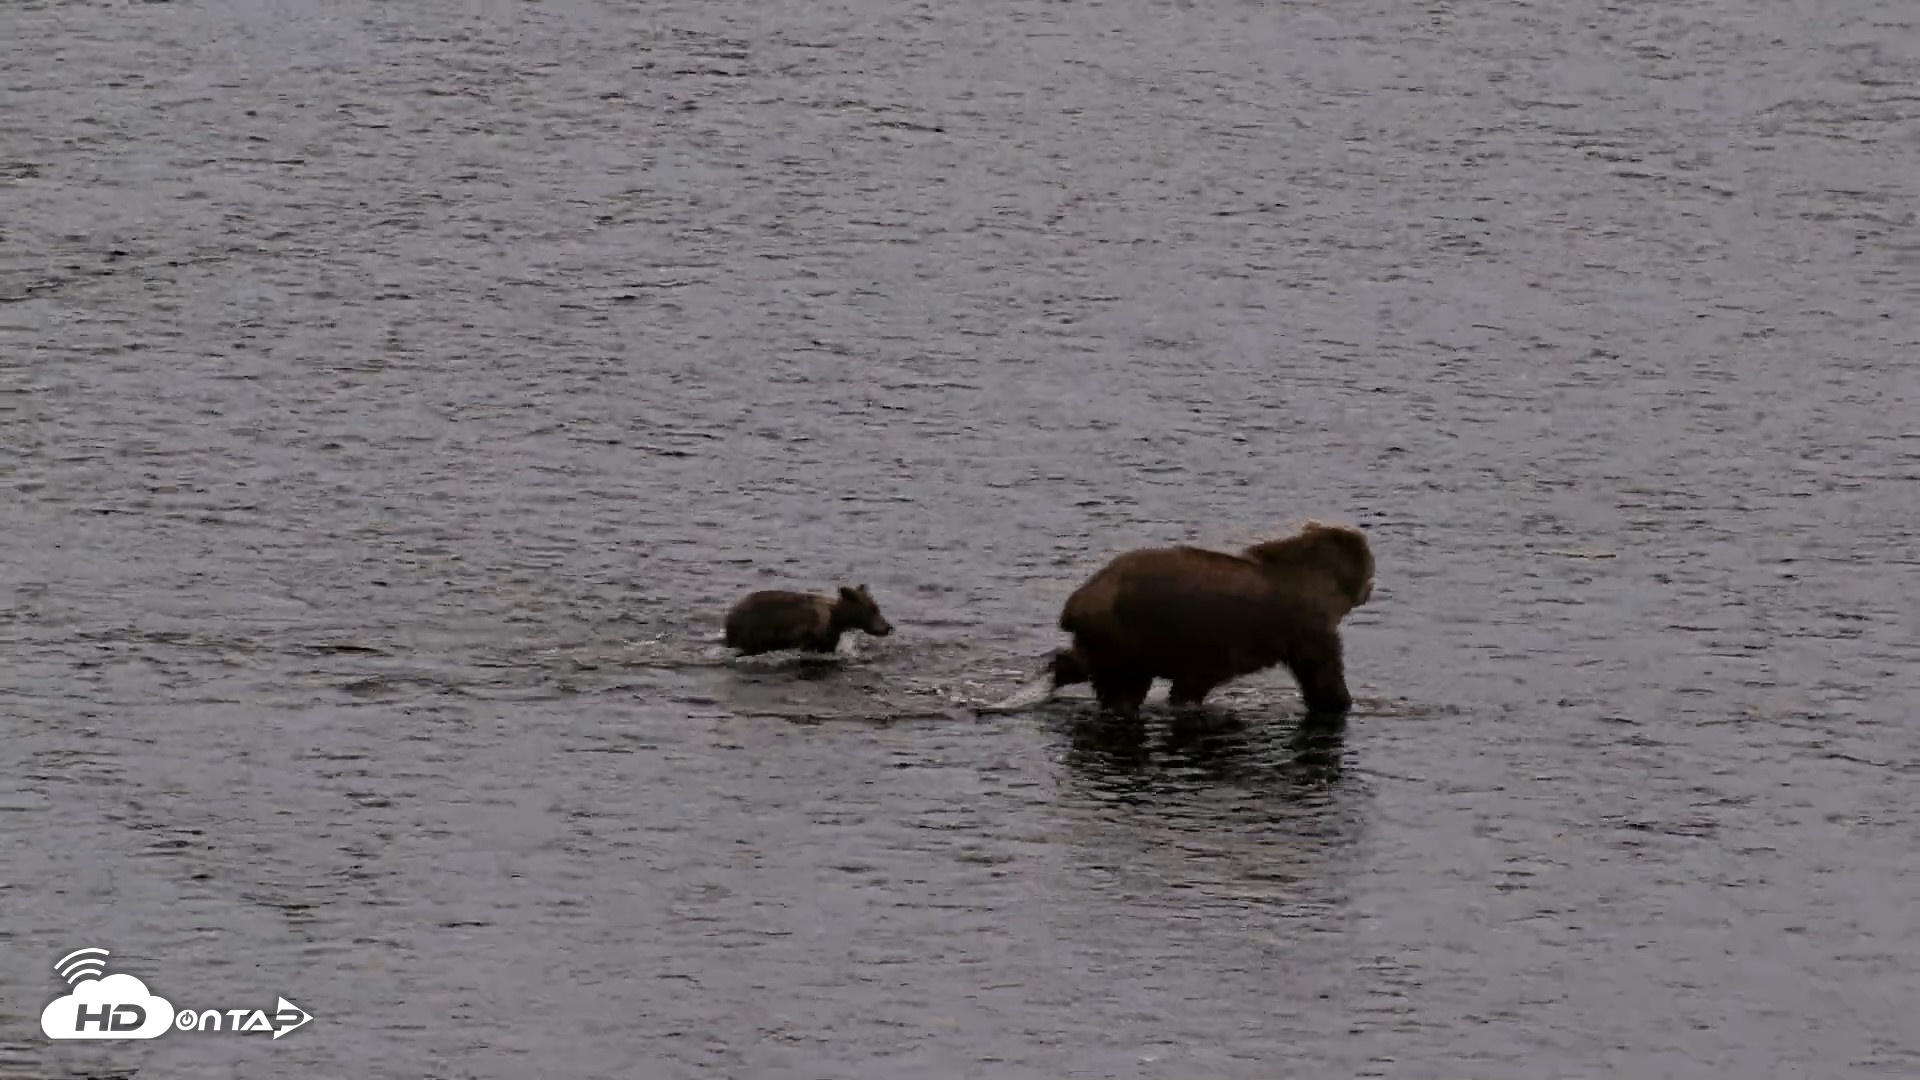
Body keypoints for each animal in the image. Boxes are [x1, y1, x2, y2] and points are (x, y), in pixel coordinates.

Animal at [1039, 520, 1374, 720]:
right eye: (1369, 566)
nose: (1370, 588)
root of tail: (1077, 601)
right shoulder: (1304, 625)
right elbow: (1323, 673)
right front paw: (1342, 703)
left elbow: (1191, 685)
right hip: (1126, 629)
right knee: (1124, 682)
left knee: (1083, 664)